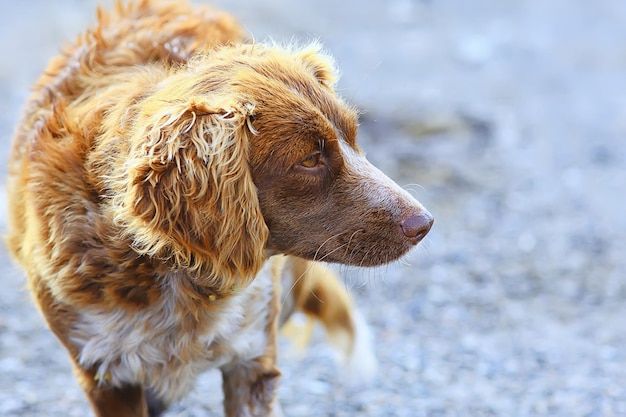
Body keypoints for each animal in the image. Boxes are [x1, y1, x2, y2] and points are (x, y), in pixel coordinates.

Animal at [6, 1, 434, 414]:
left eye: (354, 139)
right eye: (309, 160)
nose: (424, 223)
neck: (173, 269)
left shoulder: (253, 359)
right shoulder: (104, 373)